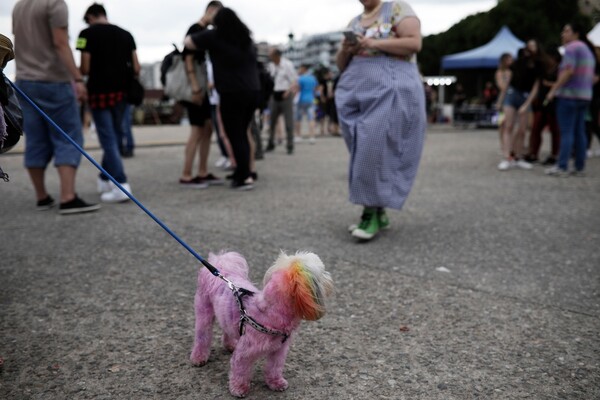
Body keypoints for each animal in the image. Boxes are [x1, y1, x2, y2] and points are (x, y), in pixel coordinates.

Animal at [190, 250, 332, 396]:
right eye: (323, 272)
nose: (329, 276)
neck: (268, 312)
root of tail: (220, 264)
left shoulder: (279, 350)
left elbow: (274, 367)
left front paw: (276, 383)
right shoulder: (244, 353)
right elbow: (240, 371)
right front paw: (239, 388)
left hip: (225, 314)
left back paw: (230, 345)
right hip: (204, 312)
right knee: (202, 336)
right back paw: (198, 357)